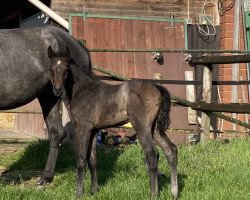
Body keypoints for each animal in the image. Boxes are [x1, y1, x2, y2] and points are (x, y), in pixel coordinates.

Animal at [47, 46, 179, 198]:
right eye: (51, 69)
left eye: (66, 69)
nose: (57, 90)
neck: (81, 90)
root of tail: (158, 87)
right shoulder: (94, 130)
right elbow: (92, 160)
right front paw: (94, 191)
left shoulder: (83, 127)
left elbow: (81, 160)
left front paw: (79, 193)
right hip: (155, 129)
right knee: (171, 150)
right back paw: (174, 192)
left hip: (141, 127)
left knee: (152, 154)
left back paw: (153, 194)